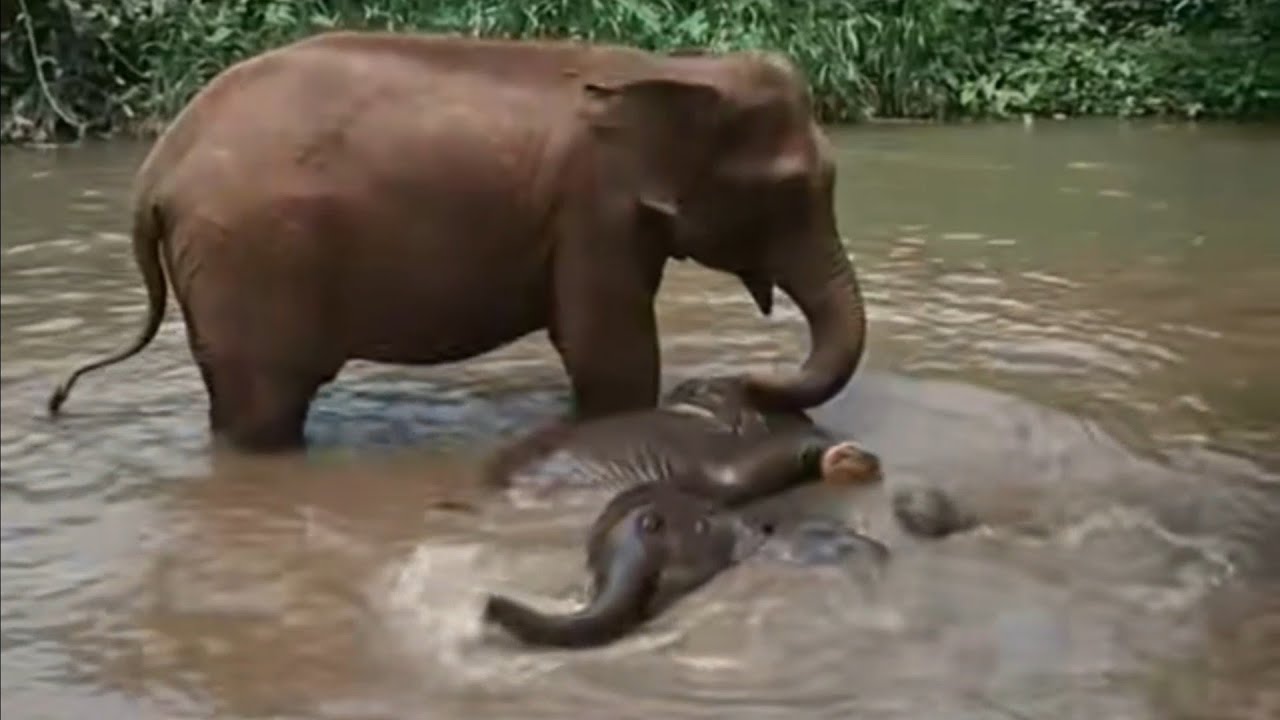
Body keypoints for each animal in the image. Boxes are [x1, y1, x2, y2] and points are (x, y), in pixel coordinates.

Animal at [45, 31, 868, 453]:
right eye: (792, 191)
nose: (741, 381)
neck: (663, 71)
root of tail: (158, 166)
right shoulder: (591, 209)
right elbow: (613, 356)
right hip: (246, 260)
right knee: (264, 406)